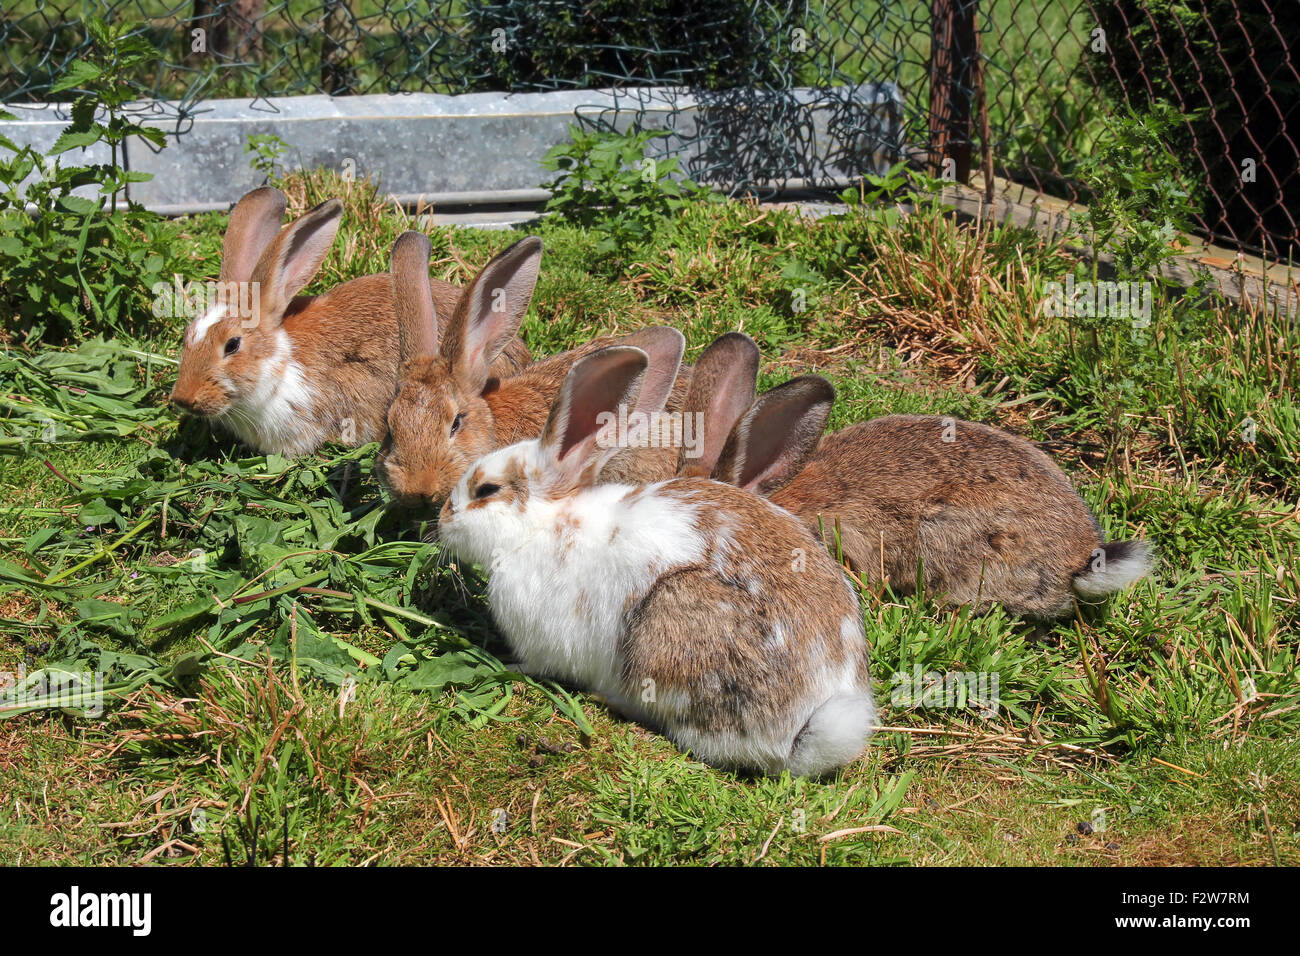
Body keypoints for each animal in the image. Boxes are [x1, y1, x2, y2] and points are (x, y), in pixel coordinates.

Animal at [437, 344, 876, 777]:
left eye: (486, 490)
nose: (442, 518)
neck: (542, 525)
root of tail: (803, 729)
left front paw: (509, 665)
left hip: (670, 630)